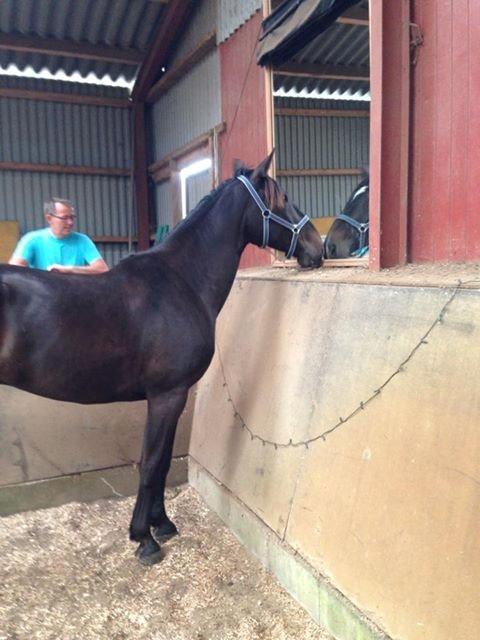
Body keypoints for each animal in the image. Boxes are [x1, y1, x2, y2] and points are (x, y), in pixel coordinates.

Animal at [0, 154, 324, 564]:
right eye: (282, 199)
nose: (318, 247)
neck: (181, 282)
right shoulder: (167, 395)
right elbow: (153, 462)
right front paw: (144, 539)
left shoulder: (173, 396)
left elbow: (165, 460)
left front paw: (162, 524)